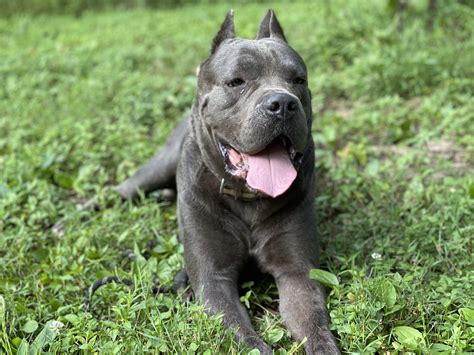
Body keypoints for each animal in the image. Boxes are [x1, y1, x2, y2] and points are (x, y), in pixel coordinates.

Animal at [113, 9, 338, 354]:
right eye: (236, 82)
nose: (282, 103)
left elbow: (314, 325)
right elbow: (243, 335)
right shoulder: (213, 280)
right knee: (121, 190)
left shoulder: (298, 273)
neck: (248, 197)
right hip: (155, 168)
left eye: (298, 80)